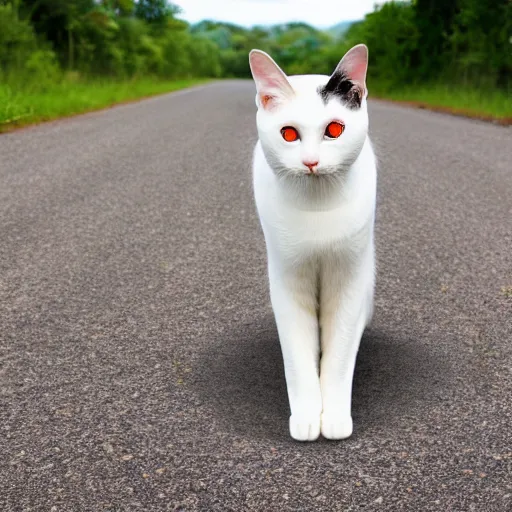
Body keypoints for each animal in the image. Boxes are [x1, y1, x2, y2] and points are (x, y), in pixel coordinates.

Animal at [250, 46, 378, 442]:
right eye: (288, 134)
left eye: (334, 129)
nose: (310, 162)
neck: (317, 207)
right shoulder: (287, 276)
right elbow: (297, 356)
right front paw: (306, 418)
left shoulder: (349, 276)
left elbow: (338, 357)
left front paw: (334, 419)